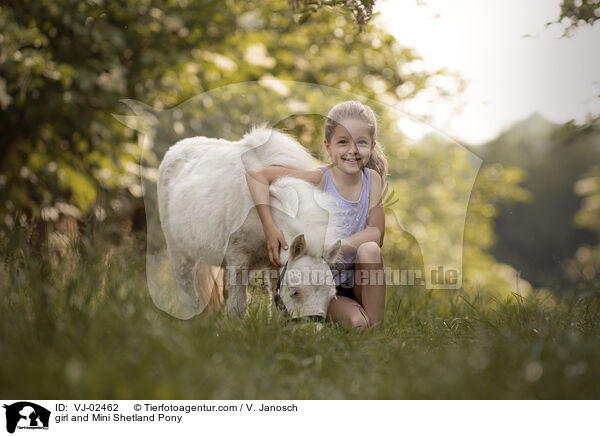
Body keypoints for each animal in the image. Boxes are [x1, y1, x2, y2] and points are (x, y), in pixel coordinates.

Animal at [157, 124, 344, 318]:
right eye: (295, 292)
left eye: (332, 296)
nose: (312, 325)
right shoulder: (239, 261)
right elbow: (237, 307)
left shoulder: (275, 267)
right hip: (180, 253)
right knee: (187, 292)